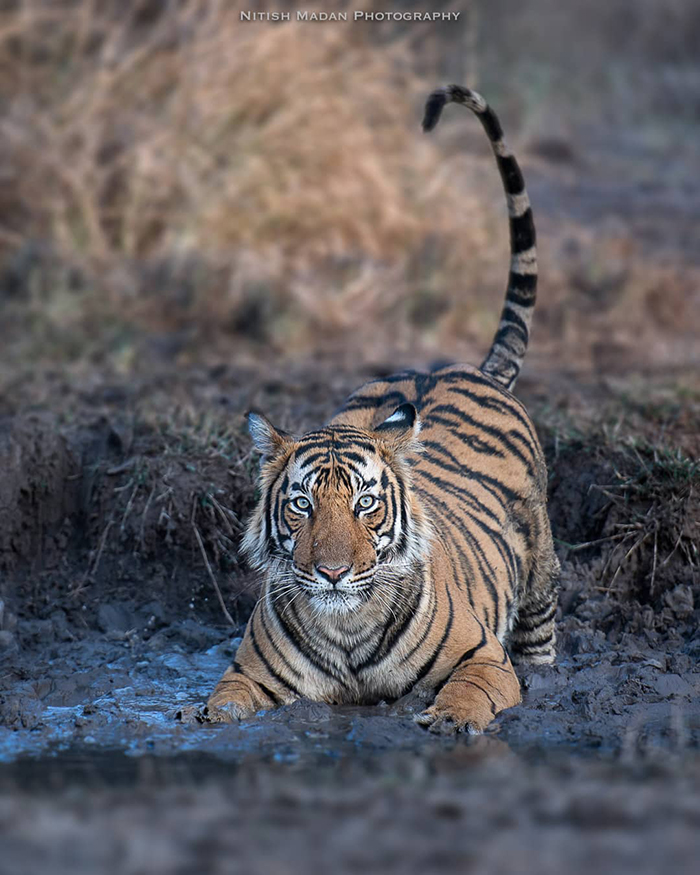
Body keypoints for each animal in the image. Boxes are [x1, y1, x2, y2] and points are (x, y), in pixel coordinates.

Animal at [206, 85, 560, 734]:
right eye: (301, 504)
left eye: (366, 504)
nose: (333, 573)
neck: (346, 625)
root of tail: (467, 367)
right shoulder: (247, 674)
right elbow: (222, 703)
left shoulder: (484, 656)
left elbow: (470, 690)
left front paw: (450, 721)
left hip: (541, 579)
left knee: (540, 639)